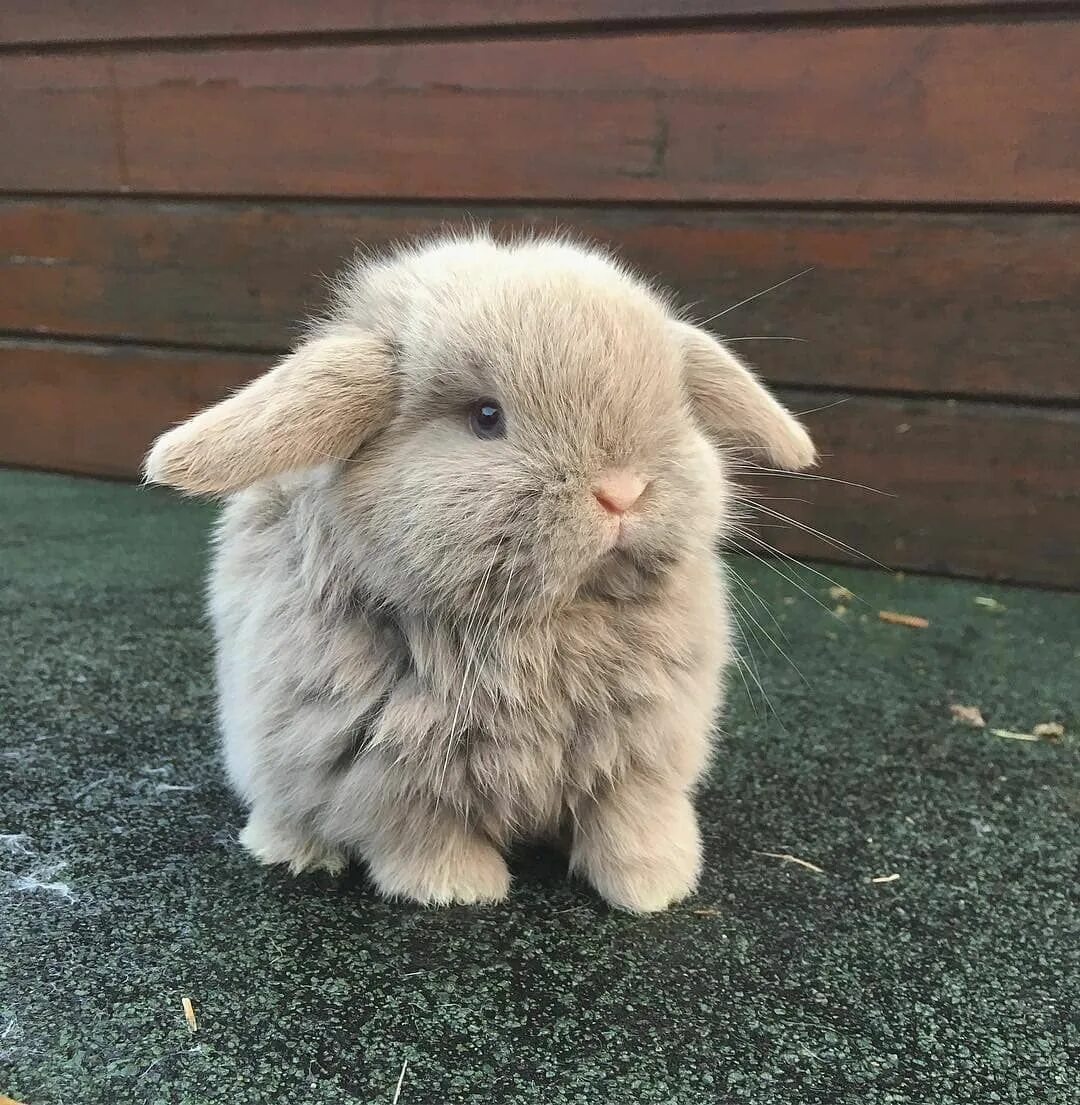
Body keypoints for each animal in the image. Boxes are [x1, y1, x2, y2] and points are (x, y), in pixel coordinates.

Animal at [145, 228, 818, 910]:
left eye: (674, 405)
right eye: (486, 417)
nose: (622, 492)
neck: (551, 622)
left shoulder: (641, 759)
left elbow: (631, 820)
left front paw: (655, 887)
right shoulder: (391, 776)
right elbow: (424, 836)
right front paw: (457, 889)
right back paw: (294, 852)